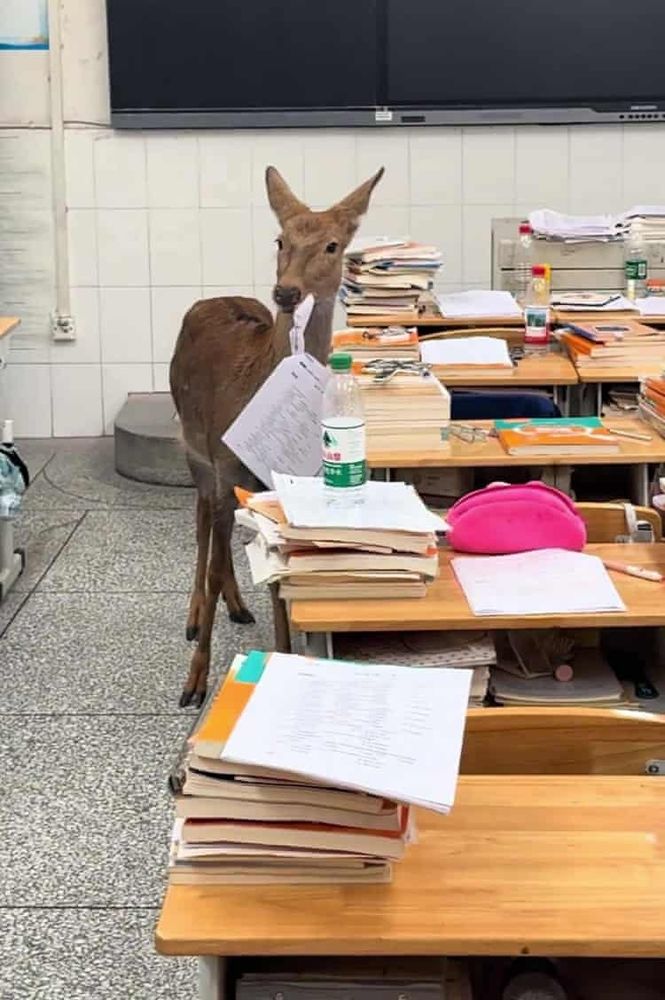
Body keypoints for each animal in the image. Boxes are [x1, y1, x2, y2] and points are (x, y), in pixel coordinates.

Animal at [170, 164, 384, 707]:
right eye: (280, 238)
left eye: (333, 245)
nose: (286, 292)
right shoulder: (223, 462)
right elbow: (216, 552)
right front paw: (194, 681)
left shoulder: (273, 481)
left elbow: (278, 578)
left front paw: (285, 651)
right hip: (193, 445)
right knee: (202, 524)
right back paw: (196, 614)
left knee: (220, 535)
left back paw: (235, 604)